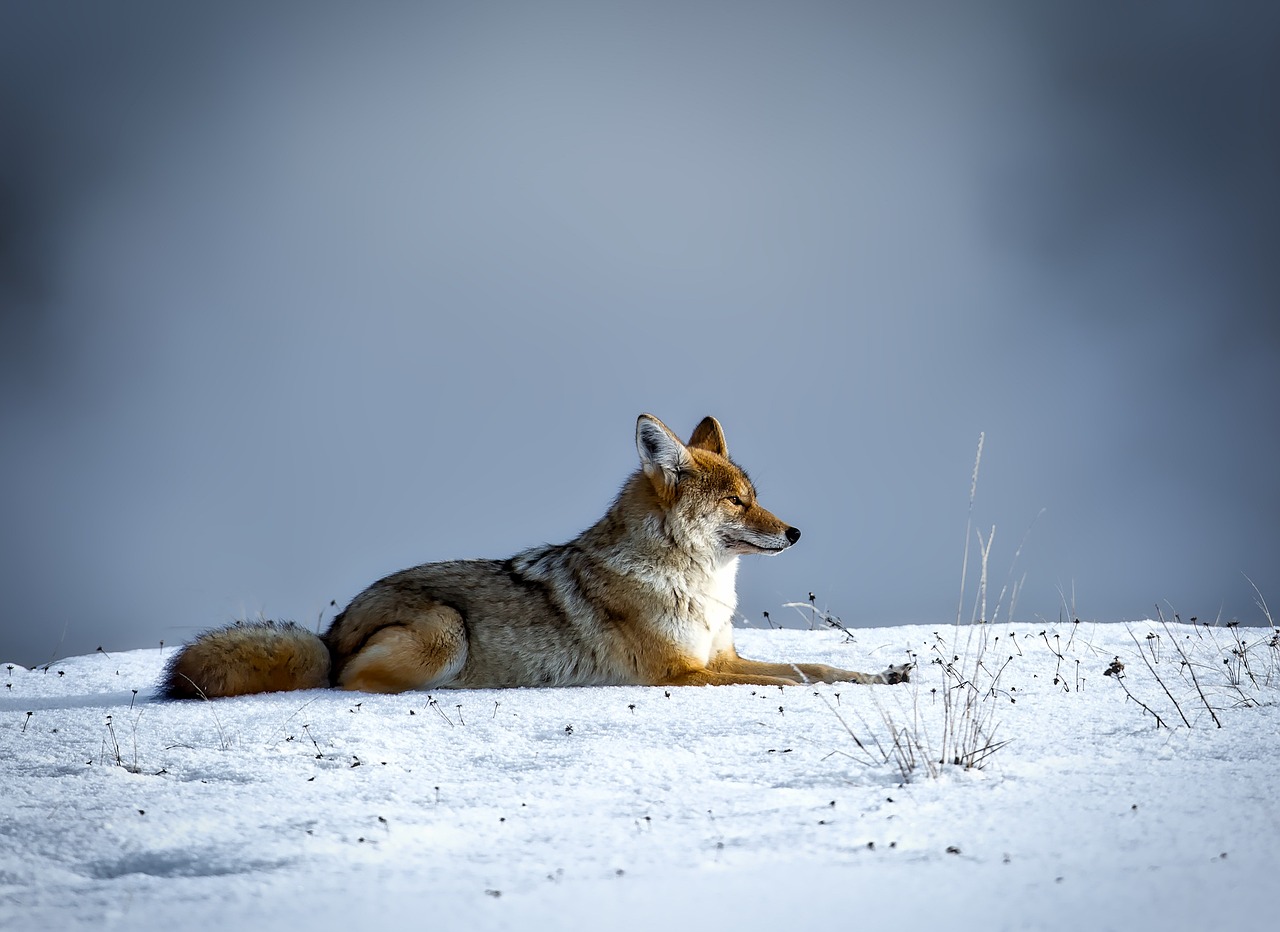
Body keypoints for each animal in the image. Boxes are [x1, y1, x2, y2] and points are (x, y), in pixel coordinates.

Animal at [160, 414, 910, 699]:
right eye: (736, 502)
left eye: (756, 497)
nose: (796, 532)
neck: (697, 587)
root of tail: (330, 630)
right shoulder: (684, 673)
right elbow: (790, 682)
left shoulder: (720, 657)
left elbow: (816, 666)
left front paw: (884, 675)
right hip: (445, 630)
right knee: (349, 684)